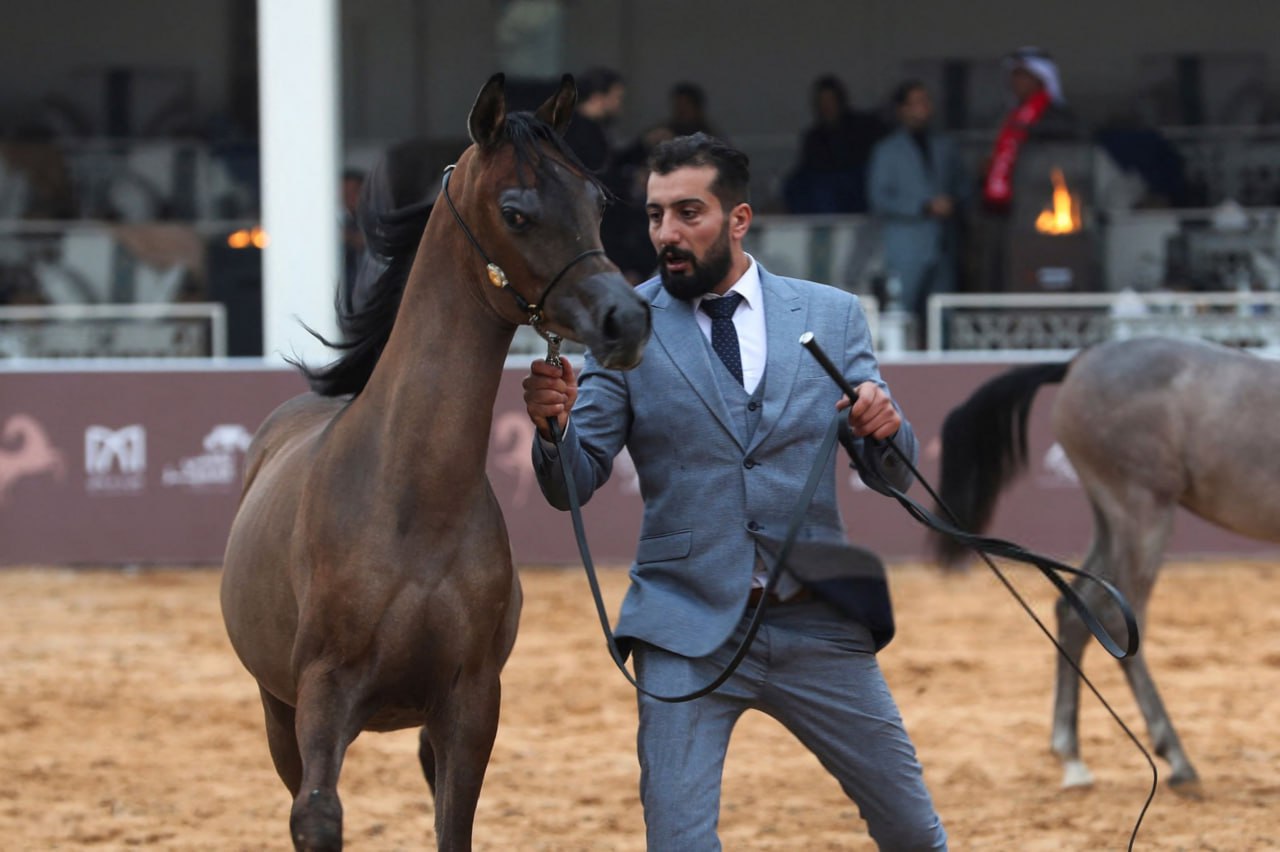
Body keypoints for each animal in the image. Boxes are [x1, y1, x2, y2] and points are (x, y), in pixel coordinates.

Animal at [218, 74, 650, 849]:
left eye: (597, 201)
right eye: (515, 211)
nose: (626, 320)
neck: (412, 502)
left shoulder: (470, 703)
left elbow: (455, 825)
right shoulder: (322, 695)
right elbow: (317, 816)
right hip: (276, 711)